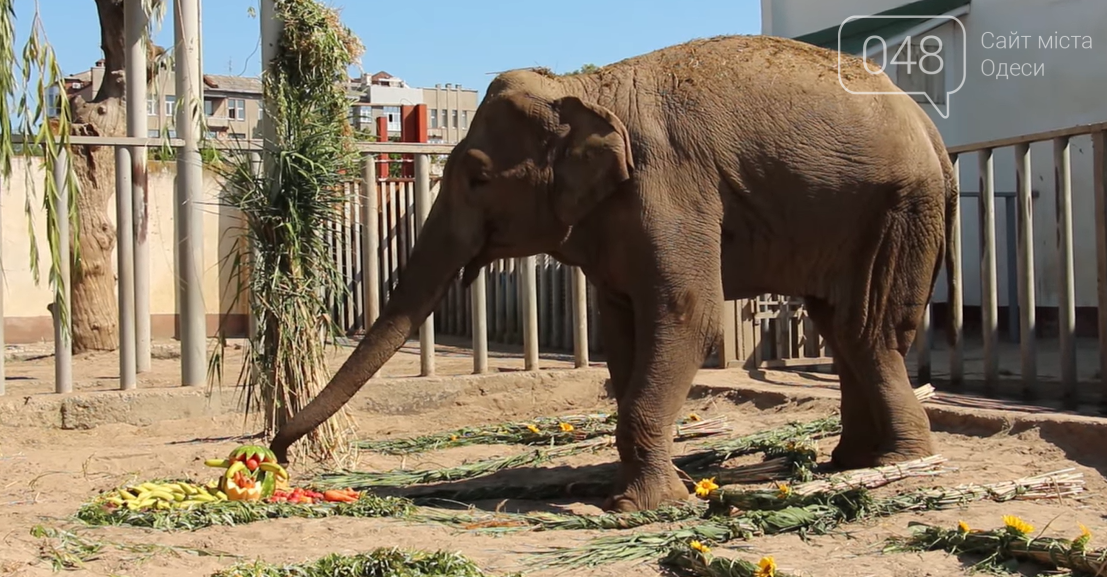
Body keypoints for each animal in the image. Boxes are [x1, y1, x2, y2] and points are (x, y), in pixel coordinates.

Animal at [270, 34, 960, 513]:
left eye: (477, 178)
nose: (274, 454)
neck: (587, 89)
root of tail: (931, 130)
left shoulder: (671, 186)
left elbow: (688, 314)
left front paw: (640, 508)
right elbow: (623, 330)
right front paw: (648, 493)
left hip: (900, 210)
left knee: (866, 330)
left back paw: (897, 463)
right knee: (841, 326)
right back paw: (850, 463)